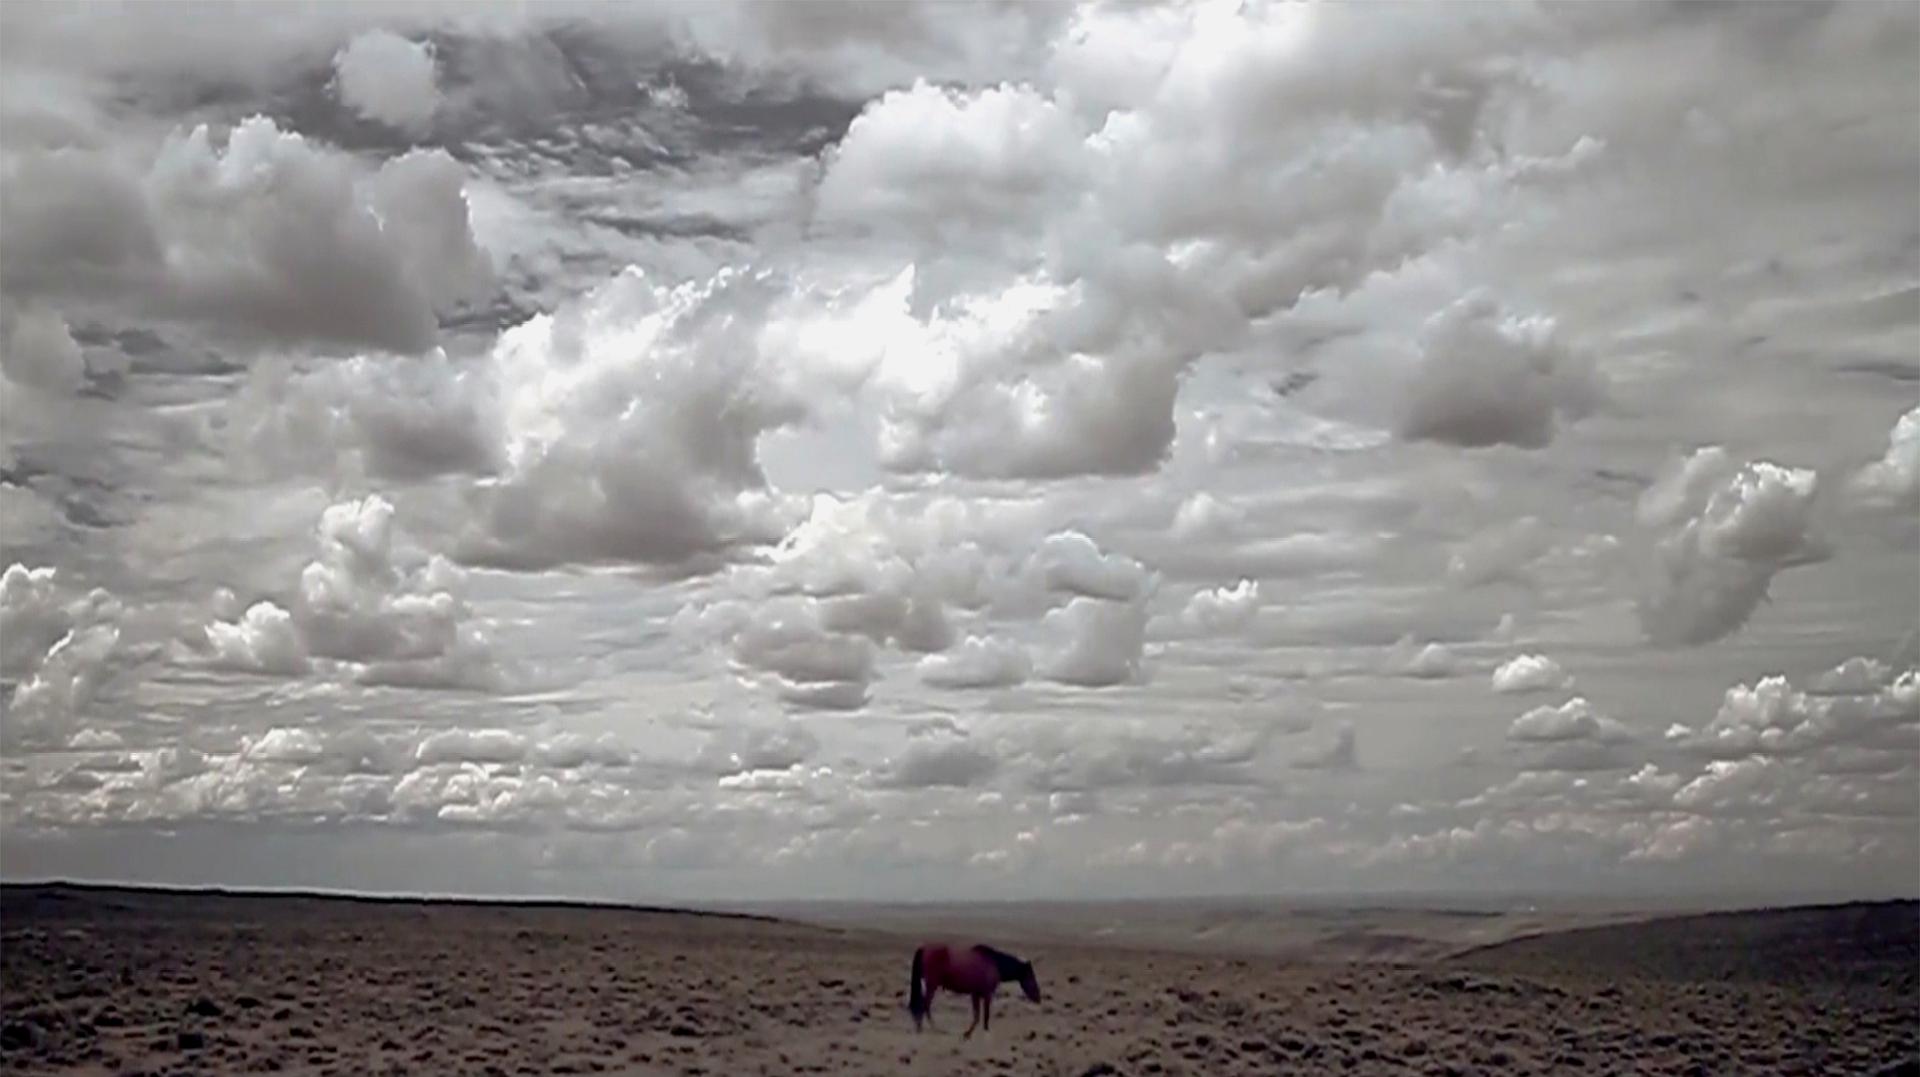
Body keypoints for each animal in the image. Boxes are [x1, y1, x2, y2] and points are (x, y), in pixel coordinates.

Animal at [906, 940, 1044, 1036]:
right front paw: (982, 1032)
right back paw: (934, 1029)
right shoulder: (987, 994)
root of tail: (924, 948)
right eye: (1031, 977)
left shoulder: (975, 994)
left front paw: (968, 1034)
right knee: (925, 1005)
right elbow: (985, 1016)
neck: (994, 963)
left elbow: (976, 1016)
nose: (1038, 997)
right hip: (931, 986)